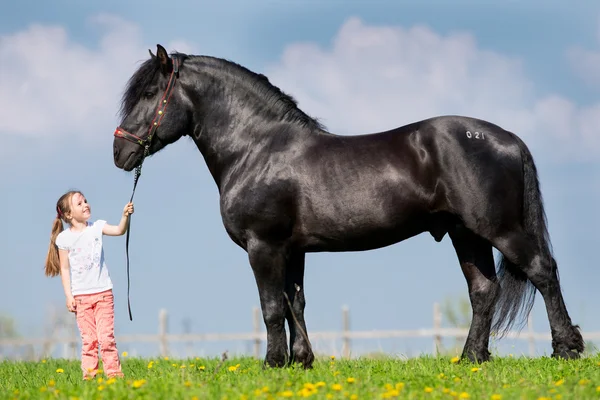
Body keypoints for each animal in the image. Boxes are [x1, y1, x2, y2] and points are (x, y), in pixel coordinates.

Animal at [111, 45, 580, 368]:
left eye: (150, 92)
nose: (120, 152)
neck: (256, 148)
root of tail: (509, 138)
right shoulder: (292, 250)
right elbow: (294, 303)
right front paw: (301, 361)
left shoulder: (264, 247)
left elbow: (271, 307)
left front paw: (272, 363)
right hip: (466, 234)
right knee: (484, 290)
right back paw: (471, 358)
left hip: (499, 229)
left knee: (542, 270)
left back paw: (566, 349)